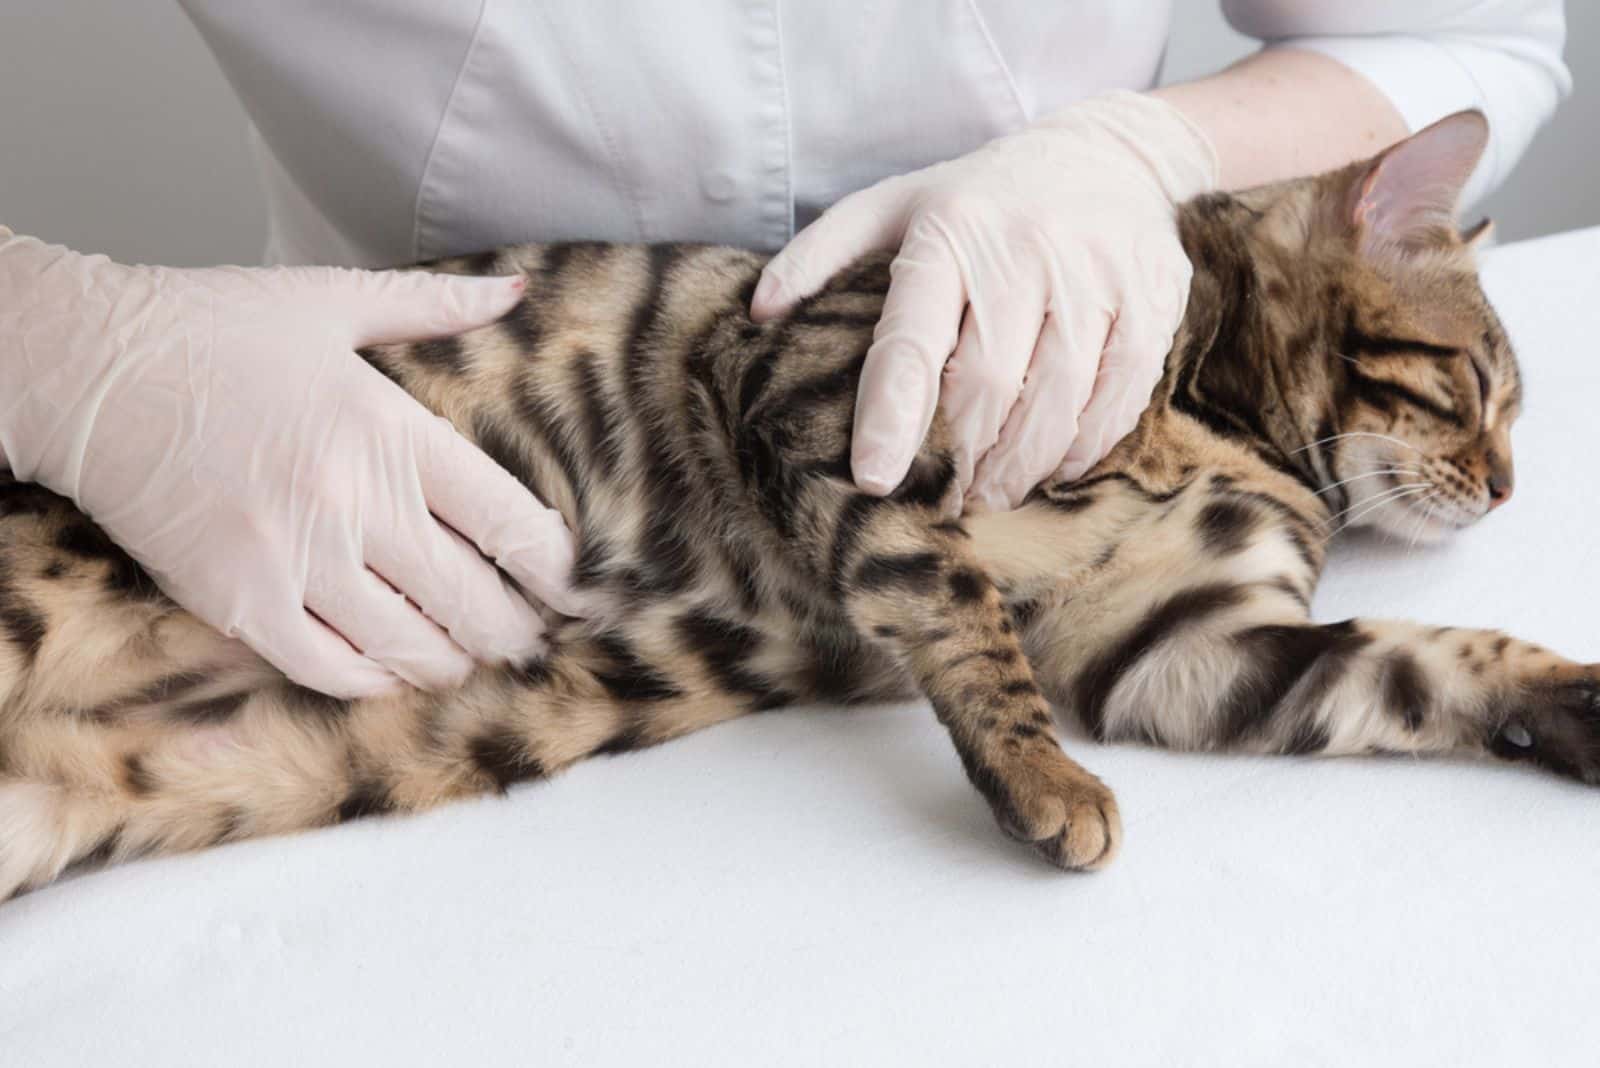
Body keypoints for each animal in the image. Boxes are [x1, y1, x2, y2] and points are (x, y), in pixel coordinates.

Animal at [3, 110, 1600, 901]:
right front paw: (1042, 783)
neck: (1226, 425)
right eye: (1472, 385)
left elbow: (1424, 665)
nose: (1510, 484)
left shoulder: (1178, 642)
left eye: (1508, 408)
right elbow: (956, 601)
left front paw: (1573, 698)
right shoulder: (826, 390)